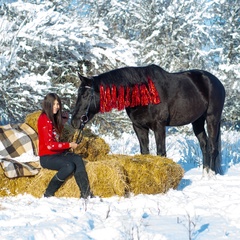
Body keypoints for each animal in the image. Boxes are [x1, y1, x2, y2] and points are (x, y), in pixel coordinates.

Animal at [71, 64, 225, 174]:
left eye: (85, 95)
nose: (75, 121)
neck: (143, 92)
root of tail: (216, 82)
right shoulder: (139, 127)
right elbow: (145, 152)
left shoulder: (159, 126)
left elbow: (161, 152)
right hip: (197, 121)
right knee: (204, 145)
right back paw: (204, 175)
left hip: (212, 118)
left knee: (212, 147)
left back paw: (211, 175)